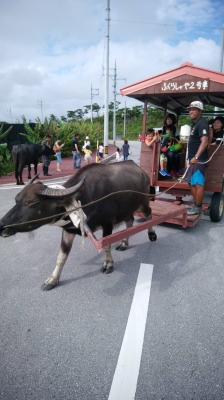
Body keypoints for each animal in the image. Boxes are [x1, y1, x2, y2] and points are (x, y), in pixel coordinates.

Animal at [0, 161, 157, 290]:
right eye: (16, 199)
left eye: (32, 202)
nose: (2, 225)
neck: (83, 200)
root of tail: (141, 171)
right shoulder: (68, 231)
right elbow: (61, 257)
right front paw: (52, 279)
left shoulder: (107, 224)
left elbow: (106, 246)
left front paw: (108, 264)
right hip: (128, 209)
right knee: (130, 220)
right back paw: (124, 243)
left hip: (143, 202)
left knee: (149, 214)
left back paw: (152, 234)